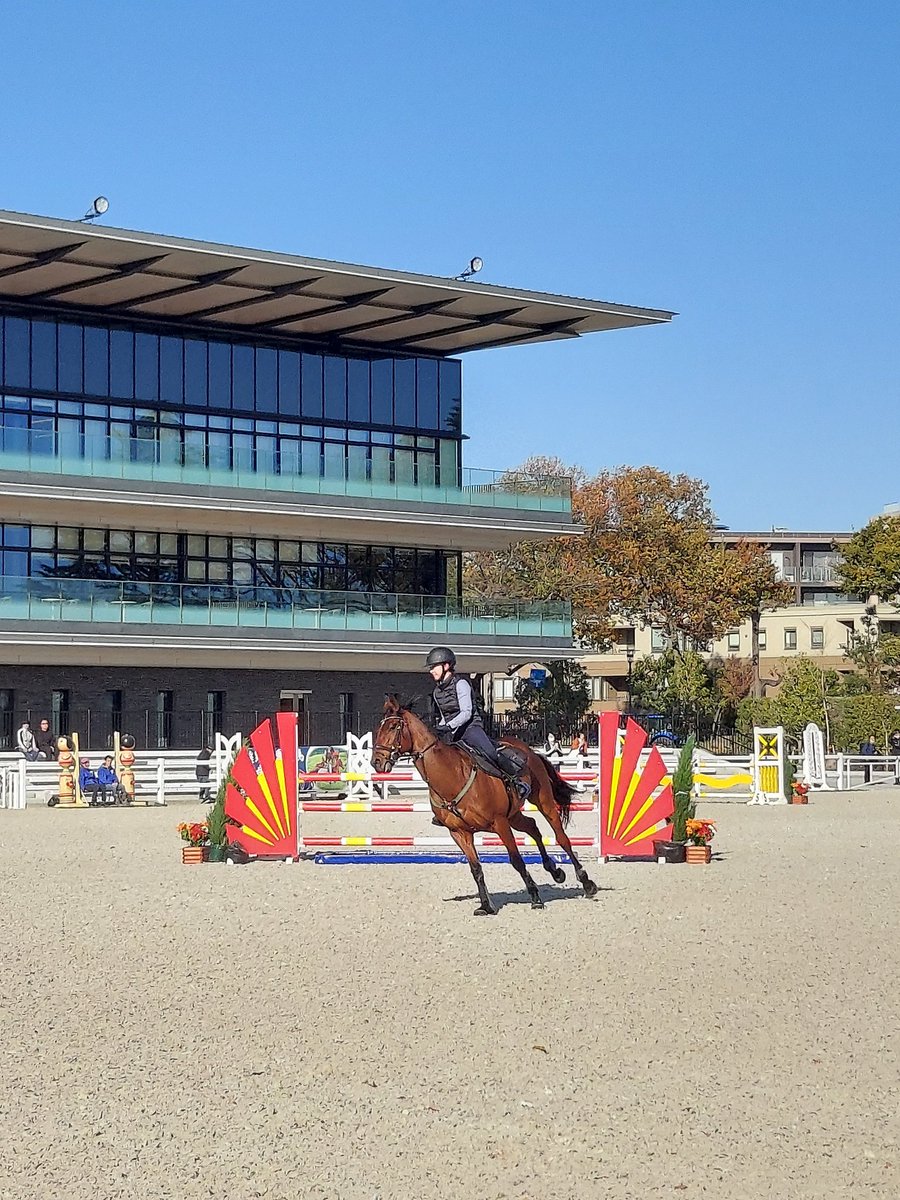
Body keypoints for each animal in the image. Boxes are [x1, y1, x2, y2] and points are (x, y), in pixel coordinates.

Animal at [369, 700, 602, 912]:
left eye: (393, 727)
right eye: (379, 728)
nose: (376, 762)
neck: (451, 776)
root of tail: (529, 750)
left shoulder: (499, 824)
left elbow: (516, 860)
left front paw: (535, 897)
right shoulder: (460, 833)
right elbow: (476, 868)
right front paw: (486, 905)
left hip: (542, 802)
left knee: (561, 837)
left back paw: (587, 882)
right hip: (513, 815)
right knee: (532, 827)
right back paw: (554, 870)